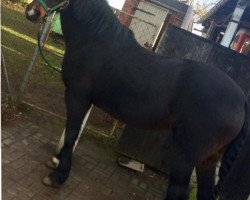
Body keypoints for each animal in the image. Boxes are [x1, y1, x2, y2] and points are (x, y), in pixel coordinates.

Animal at [25, 0, 250, 199]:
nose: (31, 12)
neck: (95, 39)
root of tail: (241, 99)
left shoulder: (77, 97)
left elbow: (71, 133)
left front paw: (58, 175)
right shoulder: (84, 100)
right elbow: (73, 132)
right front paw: (56, 161)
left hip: (185, 156)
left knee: (178, 191)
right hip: (209, 159)